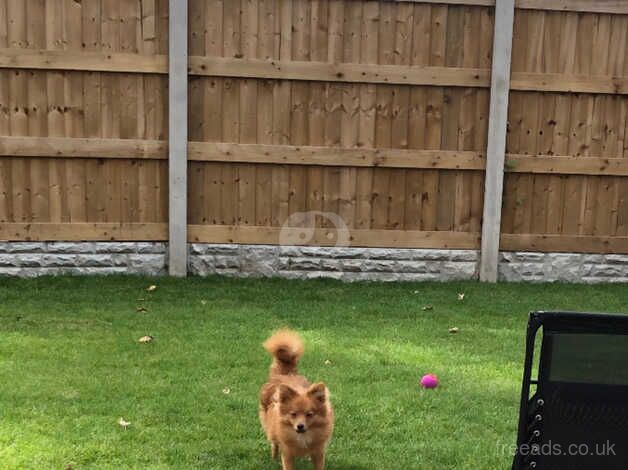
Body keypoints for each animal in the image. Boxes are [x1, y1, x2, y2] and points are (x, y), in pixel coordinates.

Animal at [258, 330, 334, 470]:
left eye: (310, 414)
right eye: (293, 414)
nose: (300, 426)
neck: (302, 438)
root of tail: (285, 374)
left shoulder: (319, 453)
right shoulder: (287, 453)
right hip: (271, 429)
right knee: (274, 443)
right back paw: (273, 457)